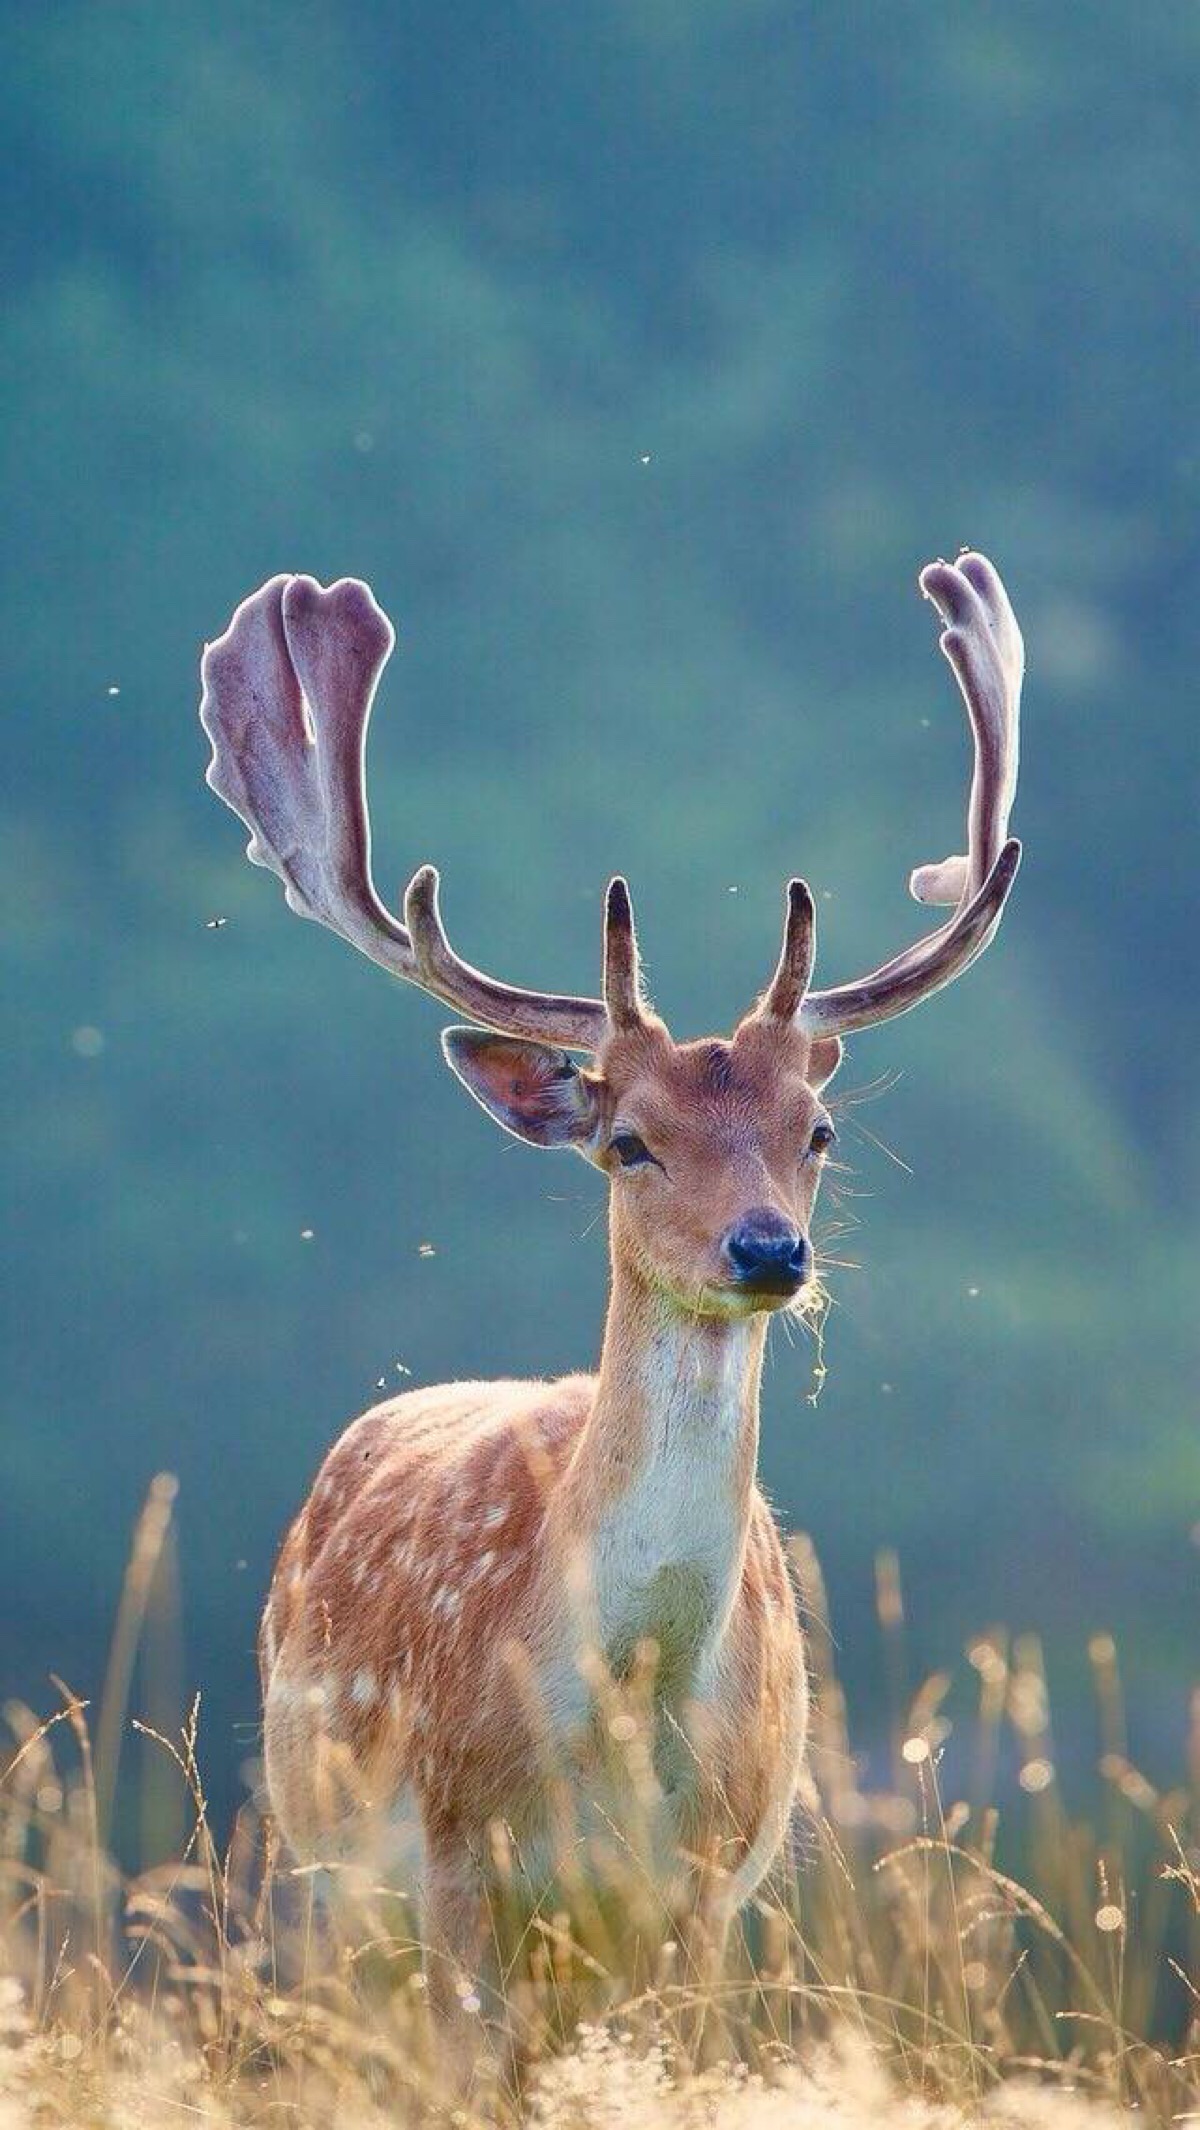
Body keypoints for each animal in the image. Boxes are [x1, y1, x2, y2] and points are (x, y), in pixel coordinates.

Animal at [199, 541, 1023, 2053]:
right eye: (630, 1139)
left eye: (817, 1130)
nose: (768, 1250)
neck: (617, 1727)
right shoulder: (453, 1860)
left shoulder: (703, 1887)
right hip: (321, 1870)